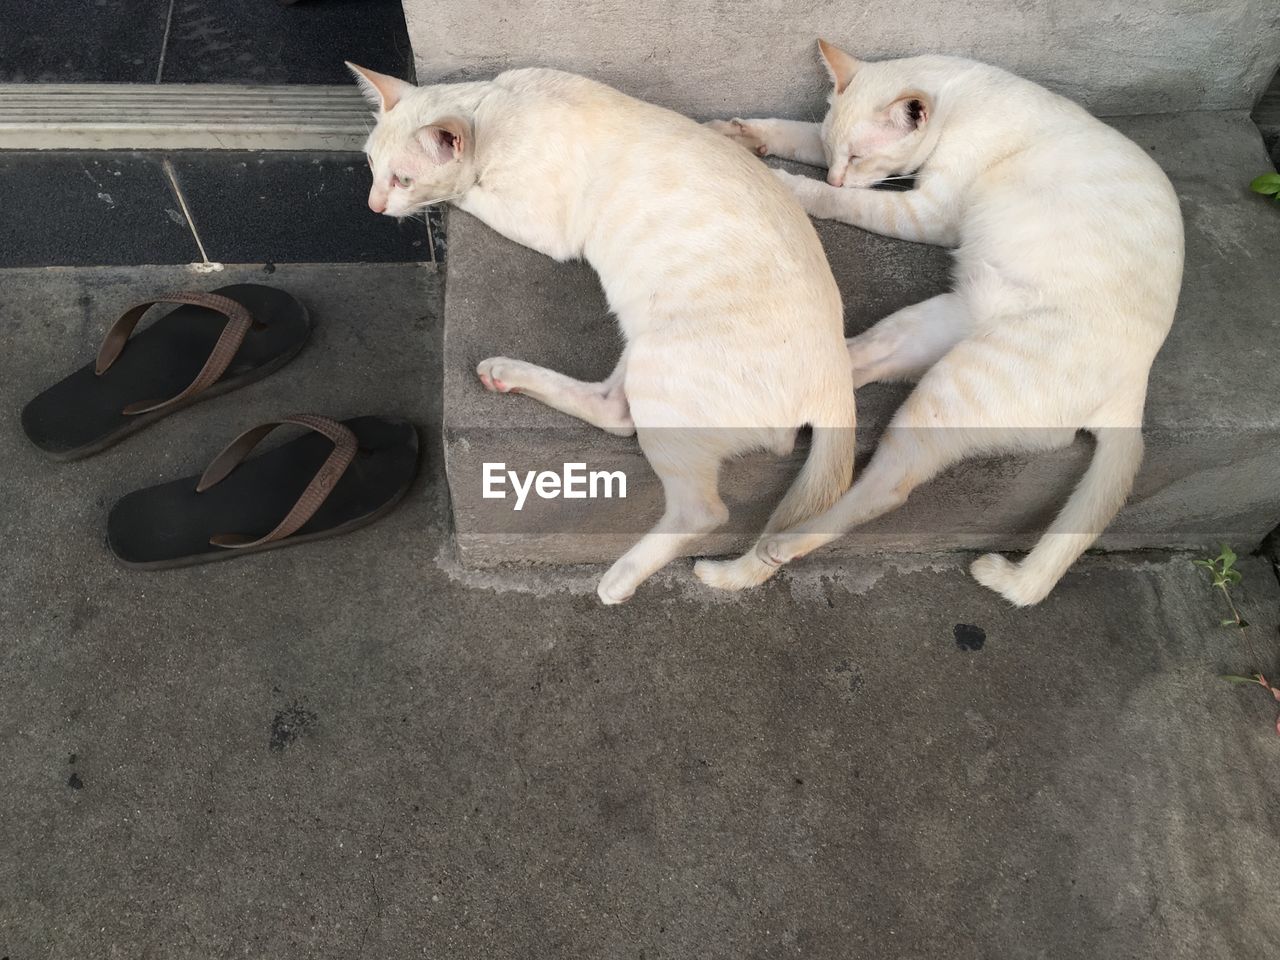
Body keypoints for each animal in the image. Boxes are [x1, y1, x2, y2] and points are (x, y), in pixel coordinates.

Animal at [348, 62, 860, 601]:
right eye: (369, 164)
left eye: (403, 179)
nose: (374, 205)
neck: (496, 106)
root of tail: (836, 379)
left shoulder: (543, 228)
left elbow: (465, 192)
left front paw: (442, 202)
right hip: (641, 344)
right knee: (615, 412)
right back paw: (505, 375)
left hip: (661, 365)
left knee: (701, 509)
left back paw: (618, 580)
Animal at [706, 43, 1182, 609]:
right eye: (837, 151)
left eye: (859, 157)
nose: (838, 174)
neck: (960, 93)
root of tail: (1137, 386)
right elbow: (790, 131)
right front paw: (732, 134)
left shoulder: (926, 212)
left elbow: (844, 200)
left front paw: (786, 182)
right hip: (927, 327)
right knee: (848, 374)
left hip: (951, 390)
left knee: (885, 488)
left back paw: (784, 542)